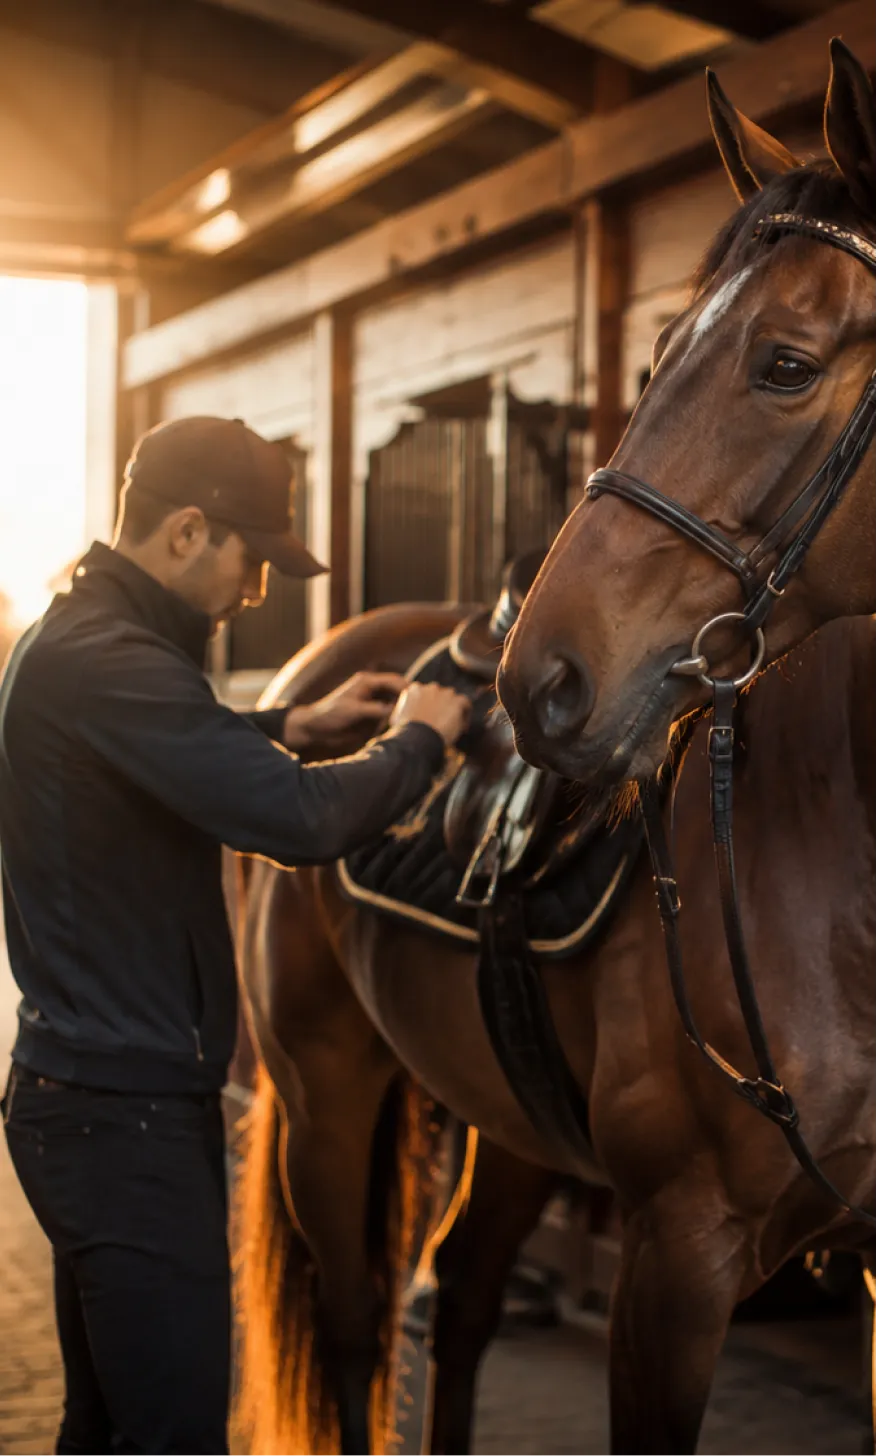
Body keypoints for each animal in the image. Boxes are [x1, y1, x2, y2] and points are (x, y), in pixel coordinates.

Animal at [233, 43, 876, 1456]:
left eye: (785, 363)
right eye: (656, 353)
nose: (545, 676)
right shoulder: (675, 1257)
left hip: (511, 1119)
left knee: (466, 1293)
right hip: (320, 1089)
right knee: (363, 1328)